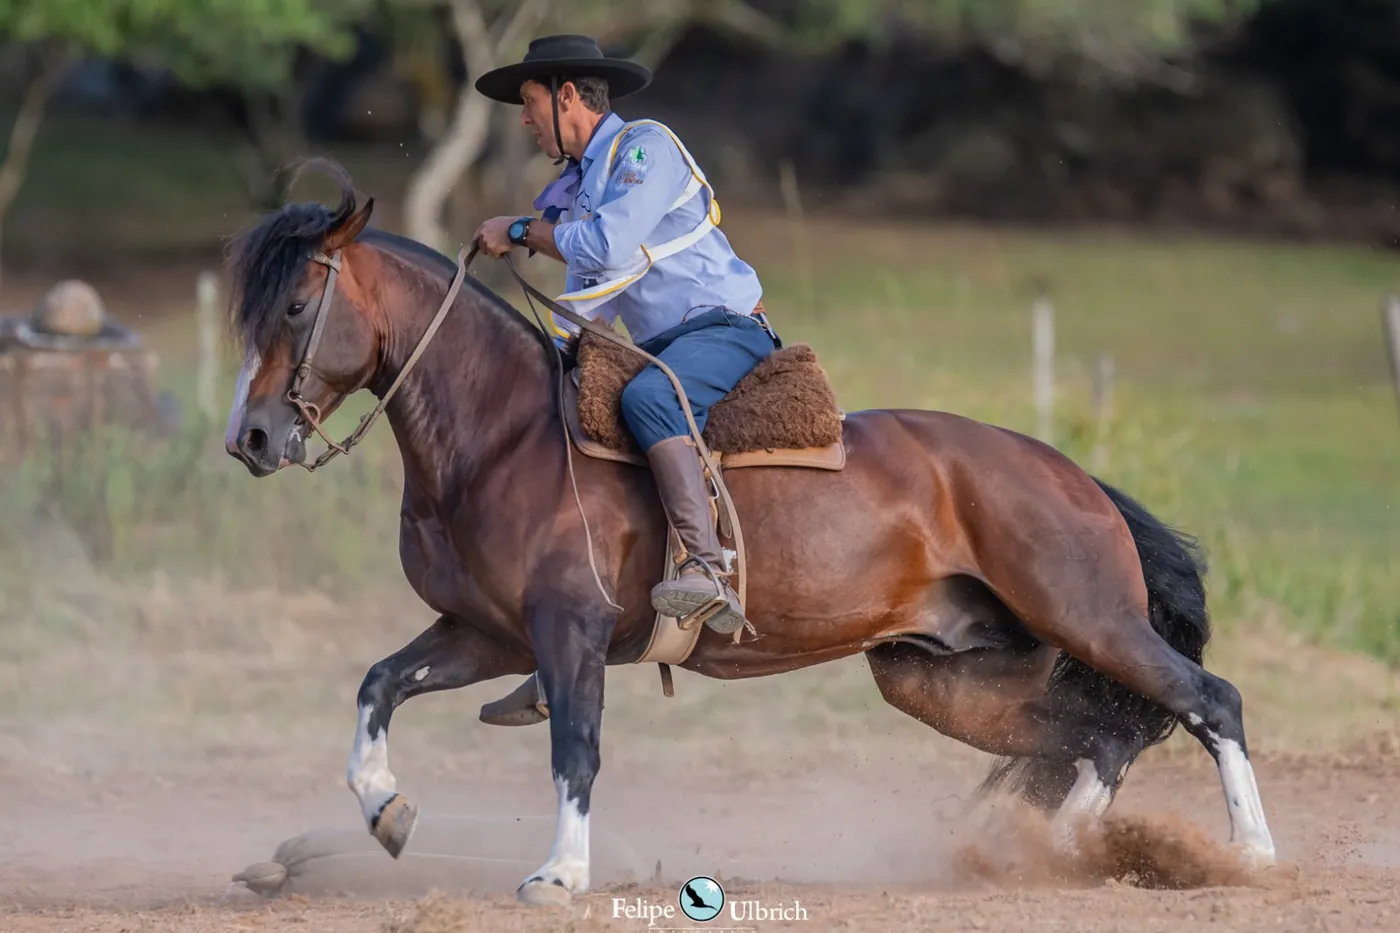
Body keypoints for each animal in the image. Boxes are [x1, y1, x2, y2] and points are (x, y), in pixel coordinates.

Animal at [221, 159, 1275, 906]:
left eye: (297, 305)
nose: (251, 439)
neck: (507, 432)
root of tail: (1072, 474)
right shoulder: (487, 634)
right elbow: (378, 686)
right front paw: (386, 811)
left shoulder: (567, 632)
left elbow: (575, 750)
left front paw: (559, 874)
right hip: (942, 675)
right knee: (1098, 735)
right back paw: (1055, 850)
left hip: (1088, 619)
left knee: (1204, 702)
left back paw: (1251, 854)